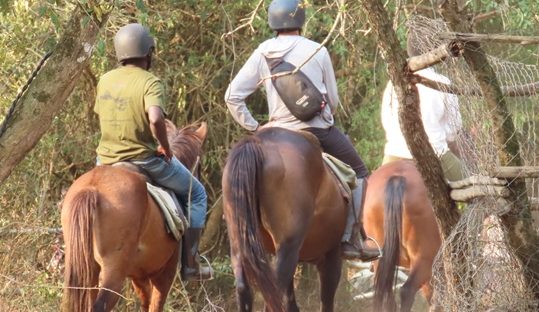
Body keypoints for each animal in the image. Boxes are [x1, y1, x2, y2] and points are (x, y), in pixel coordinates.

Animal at [60, 121, 208, 312]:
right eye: (199, 164)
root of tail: (93, 187)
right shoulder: (164, 272)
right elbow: (156, 305)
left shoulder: (139, 276)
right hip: (113, 271)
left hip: (86, 270)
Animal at [223, 127, 350, 312]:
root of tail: (259, 143)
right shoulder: (331, 254)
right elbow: (326, 301)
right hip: (289, 247)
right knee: (272, 295)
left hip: (239, 245)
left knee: (244, 288)